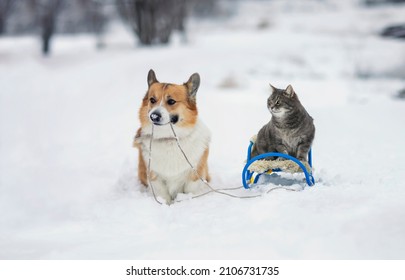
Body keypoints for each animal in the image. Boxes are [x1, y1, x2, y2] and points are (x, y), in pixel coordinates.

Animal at [134, 68, 211, 202]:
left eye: (171, 101)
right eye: (152, 100)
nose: (154, 116)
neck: (169, 138)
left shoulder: (194, 175)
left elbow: (189, 191)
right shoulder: (155, 178)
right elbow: (163, 196)